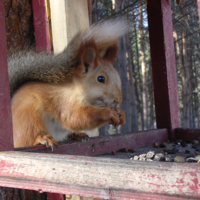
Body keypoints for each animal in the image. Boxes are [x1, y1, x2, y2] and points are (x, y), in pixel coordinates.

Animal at [8, 19, 126, 148]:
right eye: (100, 79)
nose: (118, 100)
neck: (77, 89)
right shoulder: (65, 102)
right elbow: (75, 118)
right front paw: (107, 113)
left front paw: (121, 114)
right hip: (29, 116)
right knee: (28, 139)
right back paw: (41, 138)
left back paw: (76, 135)